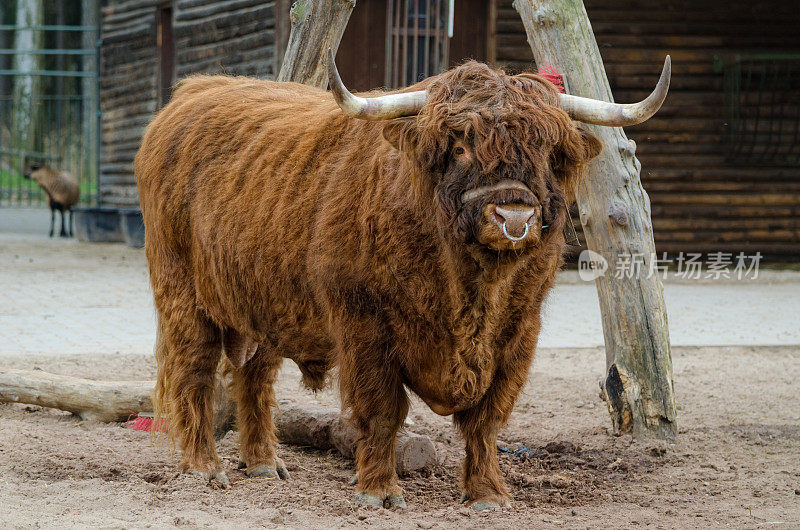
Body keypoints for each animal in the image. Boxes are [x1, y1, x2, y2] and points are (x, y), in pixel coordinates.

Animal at [136, 52, 668, 508]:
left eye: (544, 151)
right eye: (460, 147)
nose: (514, 215)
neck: (471, 290)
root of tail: (194, 92)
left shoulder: (520, 331)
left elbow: (488, 418)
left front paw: (488, 494)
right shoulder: (366, 324)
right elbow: (383, 410)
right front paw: (379, 491)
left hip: (264, 303)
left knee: (254, 376)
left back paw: (265, 463)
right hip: (182, 291)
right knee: (194, 371)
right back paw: (204, 467)